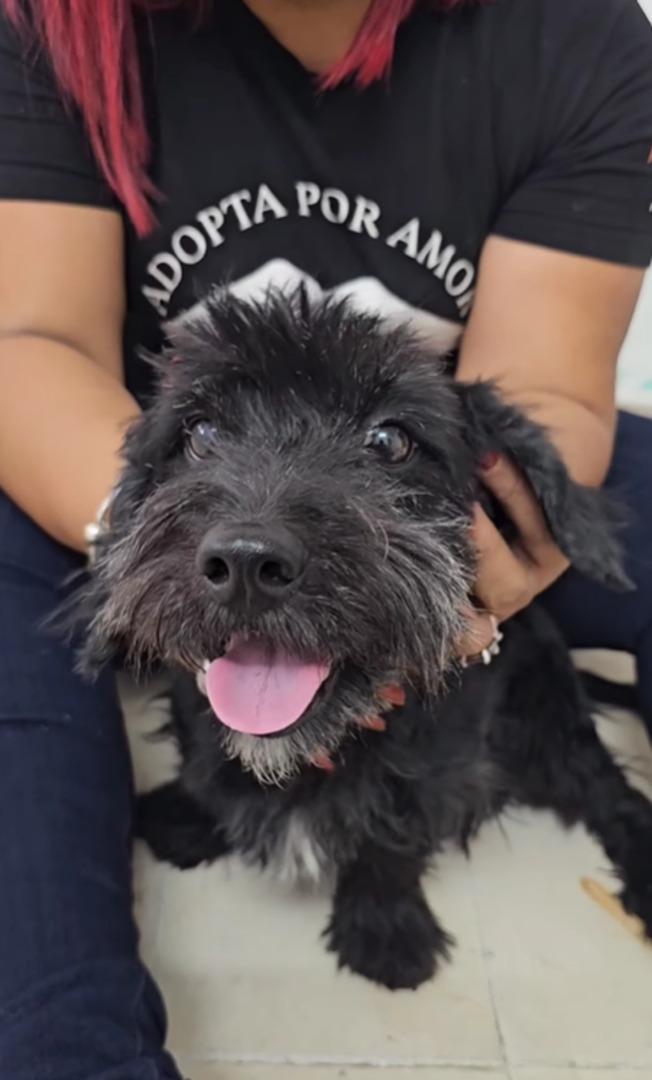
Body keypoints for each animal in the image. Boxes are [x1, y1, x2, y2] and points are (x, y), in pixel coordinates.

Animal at [78, 291, 652, 989]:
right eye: (200, 434)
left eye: (390, 440)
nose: (245, 560)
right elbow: (202, 767)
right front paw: (192, 816)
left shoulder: (439, 766)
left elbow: (392, 838)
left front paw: (384, 927)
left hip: (548, 720)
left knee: (610, 791)